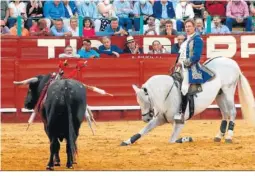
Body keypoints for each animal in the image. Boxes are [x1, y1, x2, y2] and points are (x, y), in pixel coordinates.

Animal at [120, 57, 255, 145]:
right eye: (138, 102)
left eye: (148, 100)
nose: (145, 118)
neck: (166, 95)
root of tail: (232, 62)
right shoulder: (159, 119)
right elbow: (142, 131)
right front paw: (127, 141)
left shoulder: (179, 123)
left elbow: (172, 140)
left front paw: (186, 139)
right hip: (219, 95)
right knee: (225, 113)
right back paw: (218, 136)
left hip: (228, 91)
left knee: (232, 112)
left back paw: (229, 137)